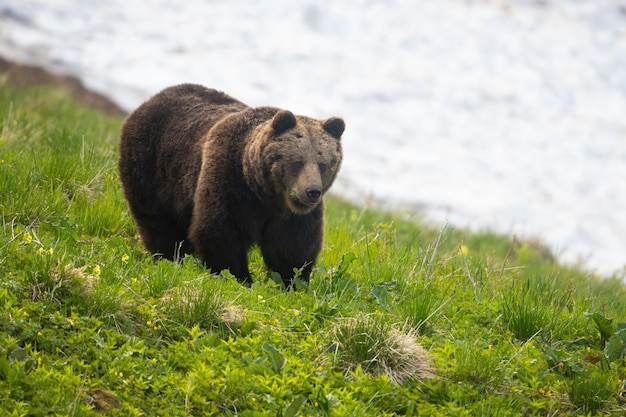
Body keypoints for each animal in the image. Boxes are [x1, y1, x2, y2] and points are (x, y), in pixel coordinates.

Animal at [117, 83, 342, 286]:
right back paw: (169, 257)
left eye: (324, 164)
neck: (263, 192)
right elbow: (220, 233)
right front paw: (240, 278)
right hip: (153, 169)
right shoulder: (229, 183)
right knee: (158, 222)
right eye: (297, 161)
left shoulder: (294, 216)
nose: (312, 191)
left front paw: (292, 282)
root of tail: (151, 100)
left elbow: (294, 248)